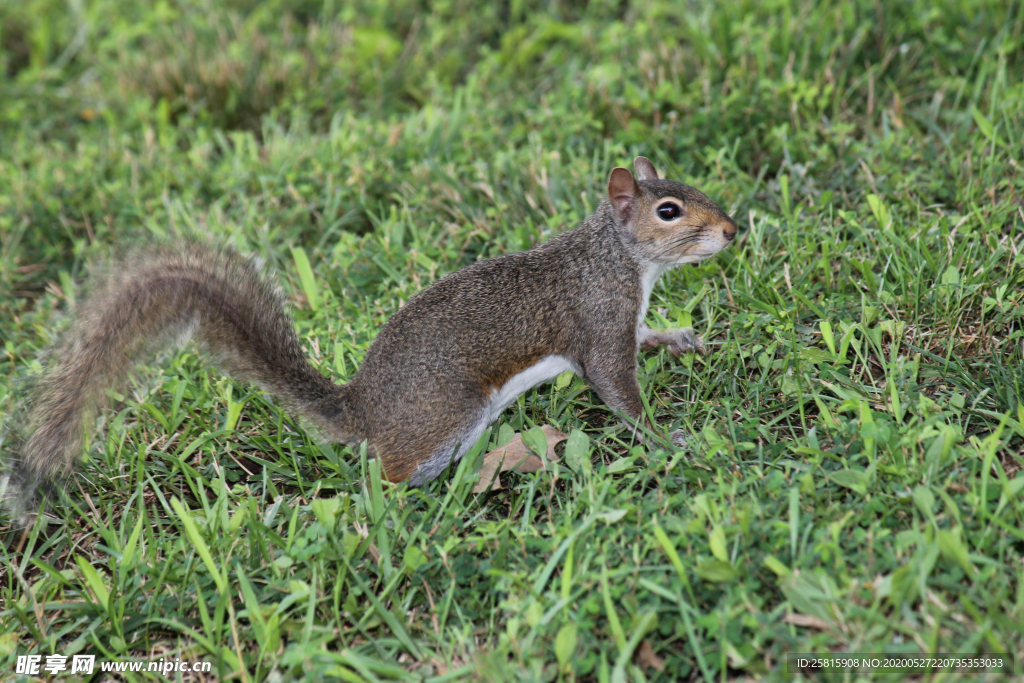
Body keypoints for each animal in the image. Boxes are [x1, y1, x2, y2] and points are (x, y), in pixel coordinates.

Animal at [0, 156, 737, 518]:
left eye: (694, 187)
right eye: (669, 210)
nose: (733, 230)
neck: (619, 257)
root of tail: (360, 407)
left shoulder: (624, 321)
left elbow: (647, 341)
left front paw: (683, 339)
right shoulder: (597, 320)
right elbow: (617, 389)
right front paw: (673, 440)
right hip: (450, 412)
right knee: (387, 476)